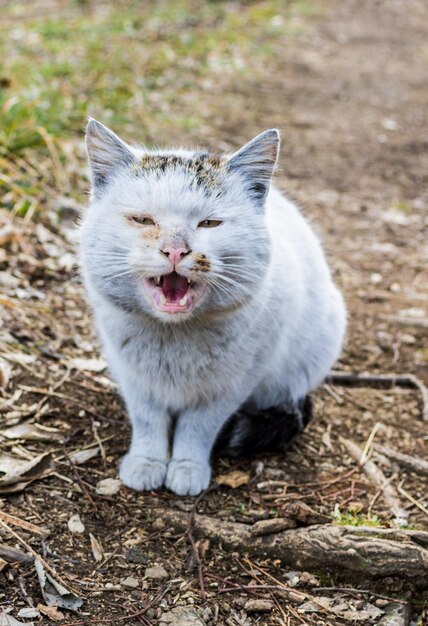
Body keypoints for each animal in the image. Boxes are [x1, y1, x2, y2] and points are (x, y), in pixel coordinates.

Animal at [80, 119, 346, 494]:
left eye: (209, 223)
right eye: (143, 221)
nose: (175, 250)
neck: (173, 339)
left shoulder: (231, 387)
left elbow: (198, 427)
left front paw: (187, 467)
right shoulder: (132, 377)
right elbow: (147, 419)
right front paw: (147, 461)